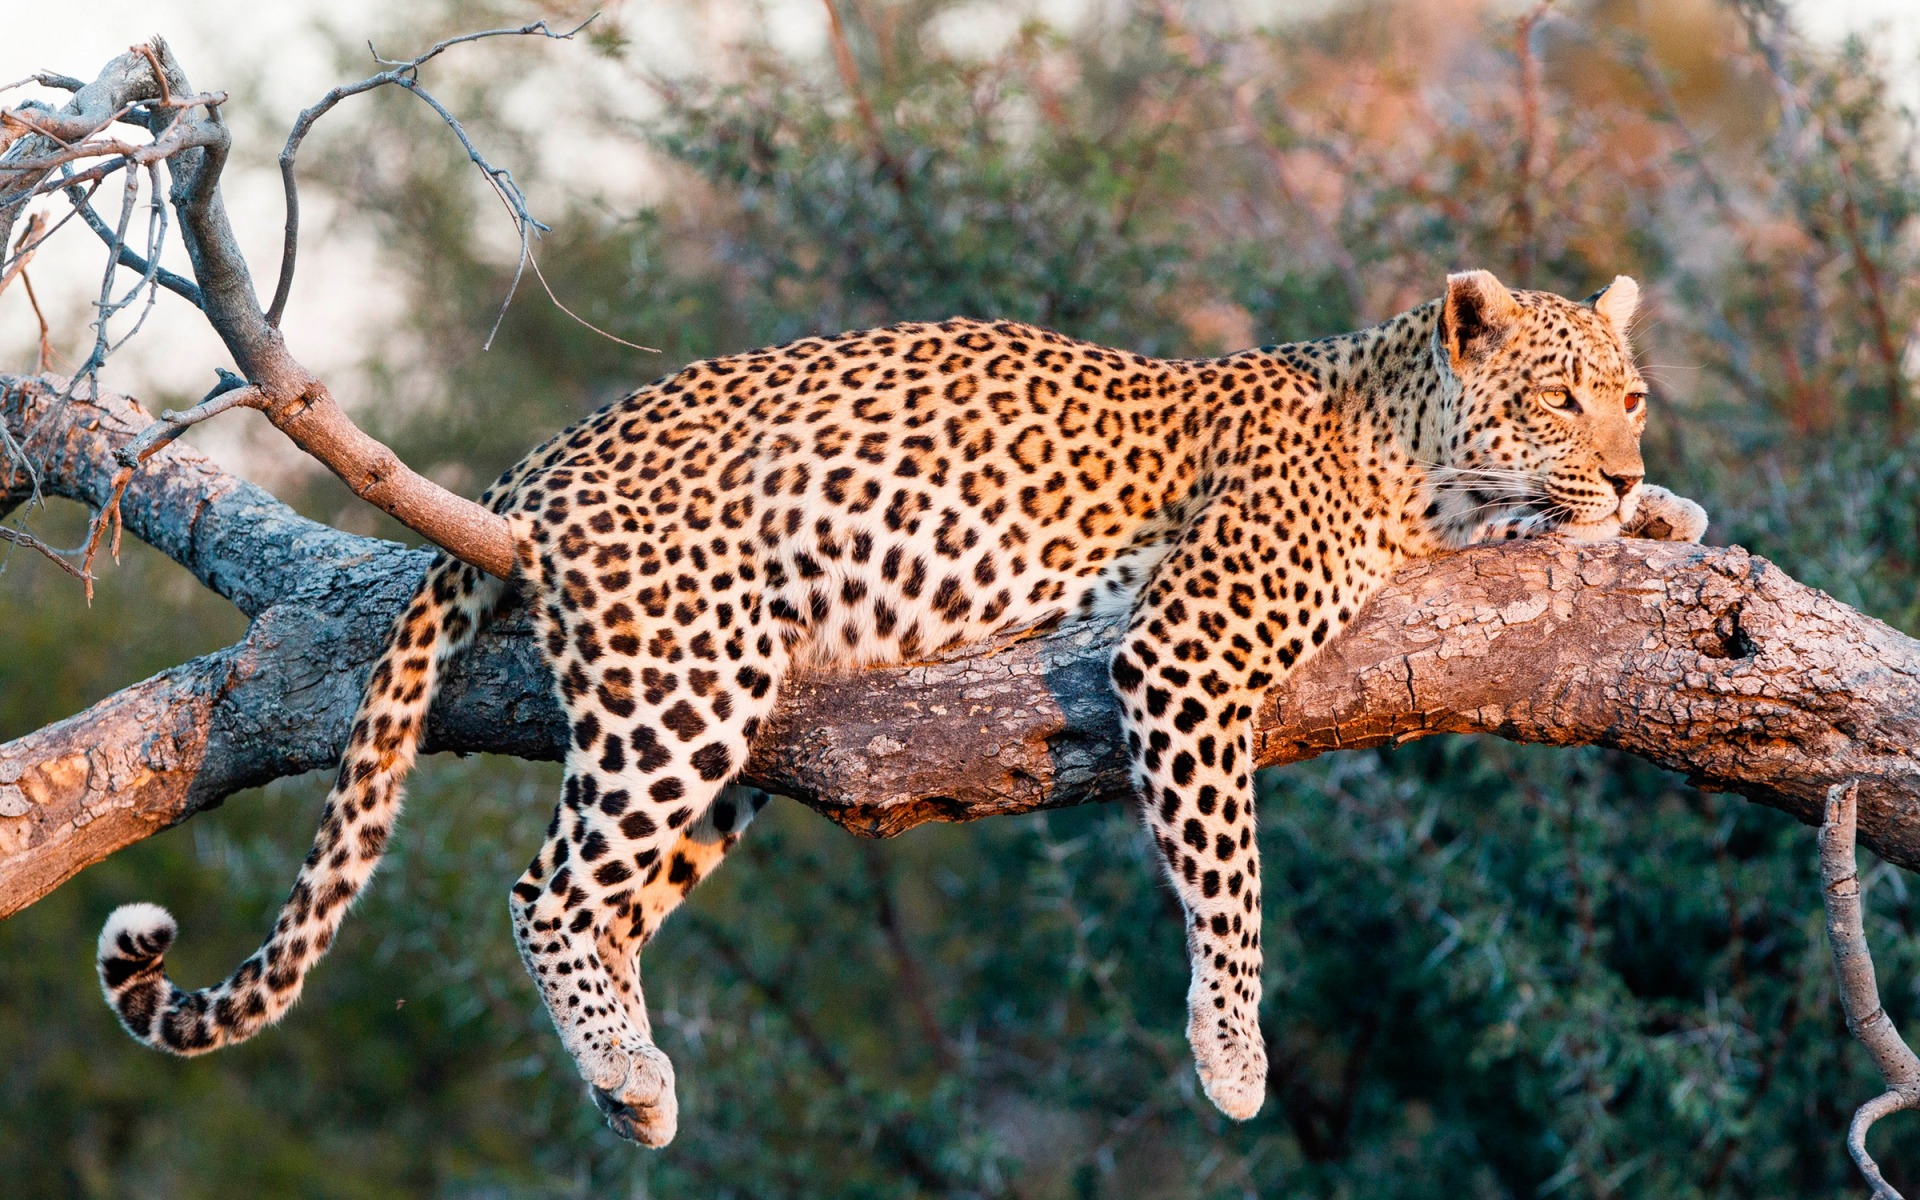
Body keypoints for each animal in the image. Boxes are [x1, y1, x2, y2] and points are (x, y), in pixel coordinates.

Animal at [93, 268, 1712, 1144]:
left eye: (1631, 397)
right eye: (1562, 397)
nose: (1631, 459)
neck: (1412, 449)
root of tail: (539, 462)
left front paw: (1662, 515)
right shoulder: (1186, 654)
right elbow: (1231, 881)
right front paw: (1234, 1051)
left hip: (728, 733)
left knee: (599, 898)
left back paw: (633, 1083)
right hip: (685, 681)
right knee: (546, 891)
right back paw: (624, 1066)